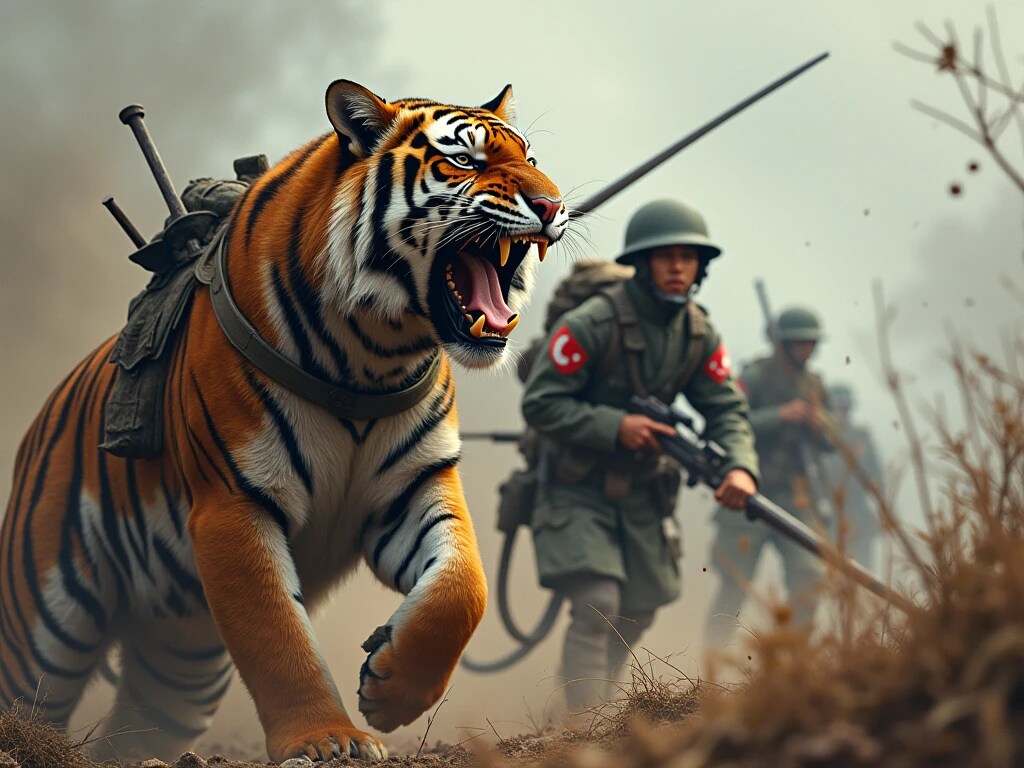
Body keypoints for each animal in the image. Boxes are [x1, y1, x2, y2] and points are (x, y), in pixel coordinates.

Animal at [0, 79, 568, 763]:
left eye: (531, 158)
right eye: (463, 160)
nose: (554, 204)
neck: (374, 354)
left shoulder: (416, 486)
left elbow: (465, 589)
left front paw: (391, 690)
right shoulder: (233, 502)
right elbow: (277, 637)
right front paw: (328, 739)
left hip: (180, 656)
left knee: (140, 726)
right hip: (42, 624)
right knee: (29, 694)